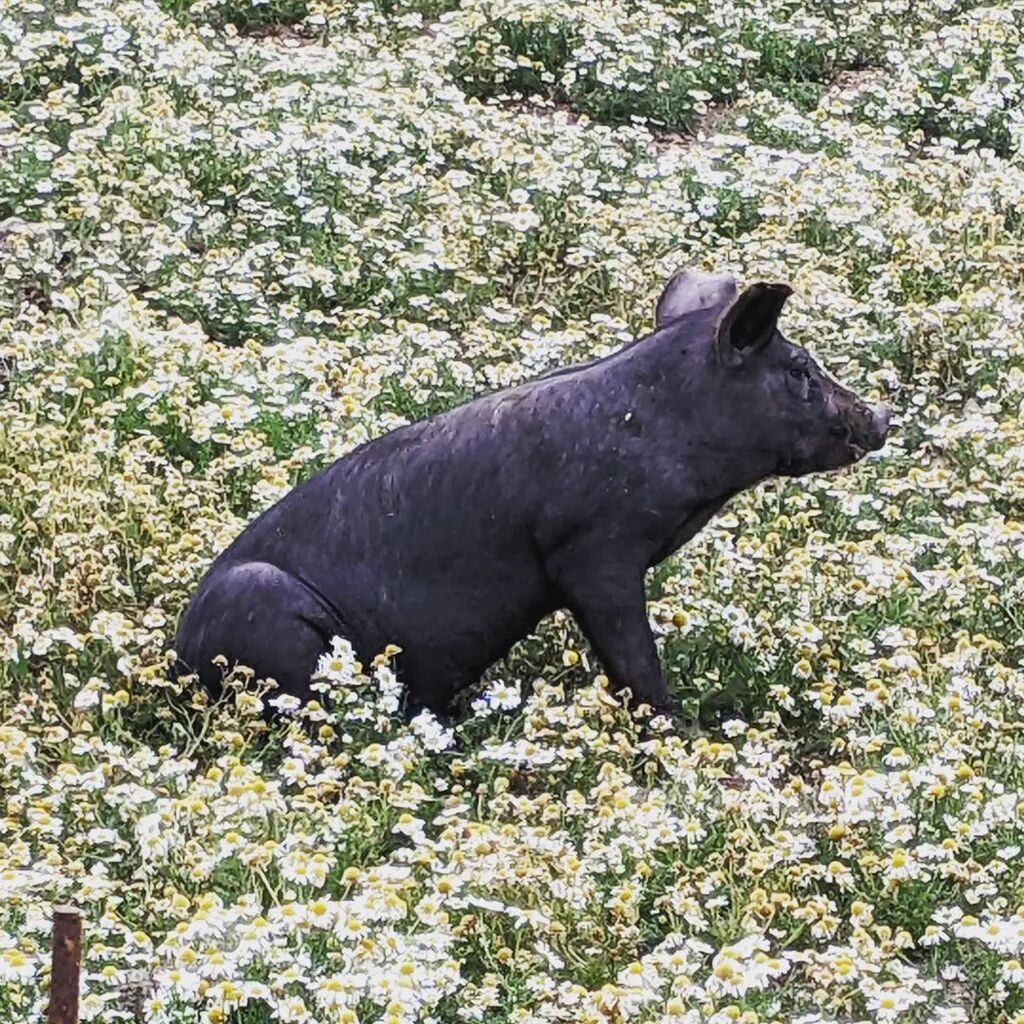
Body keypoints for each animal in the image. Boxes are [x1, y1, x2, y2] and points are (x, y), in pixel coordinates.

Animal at [173, 270, 890, 720]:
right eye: (799, 370)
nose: (882, 417)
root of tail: (178, 664)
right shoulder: (590, 548)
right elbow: (630, 648)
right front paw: (674, 725)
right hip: (265, 613)